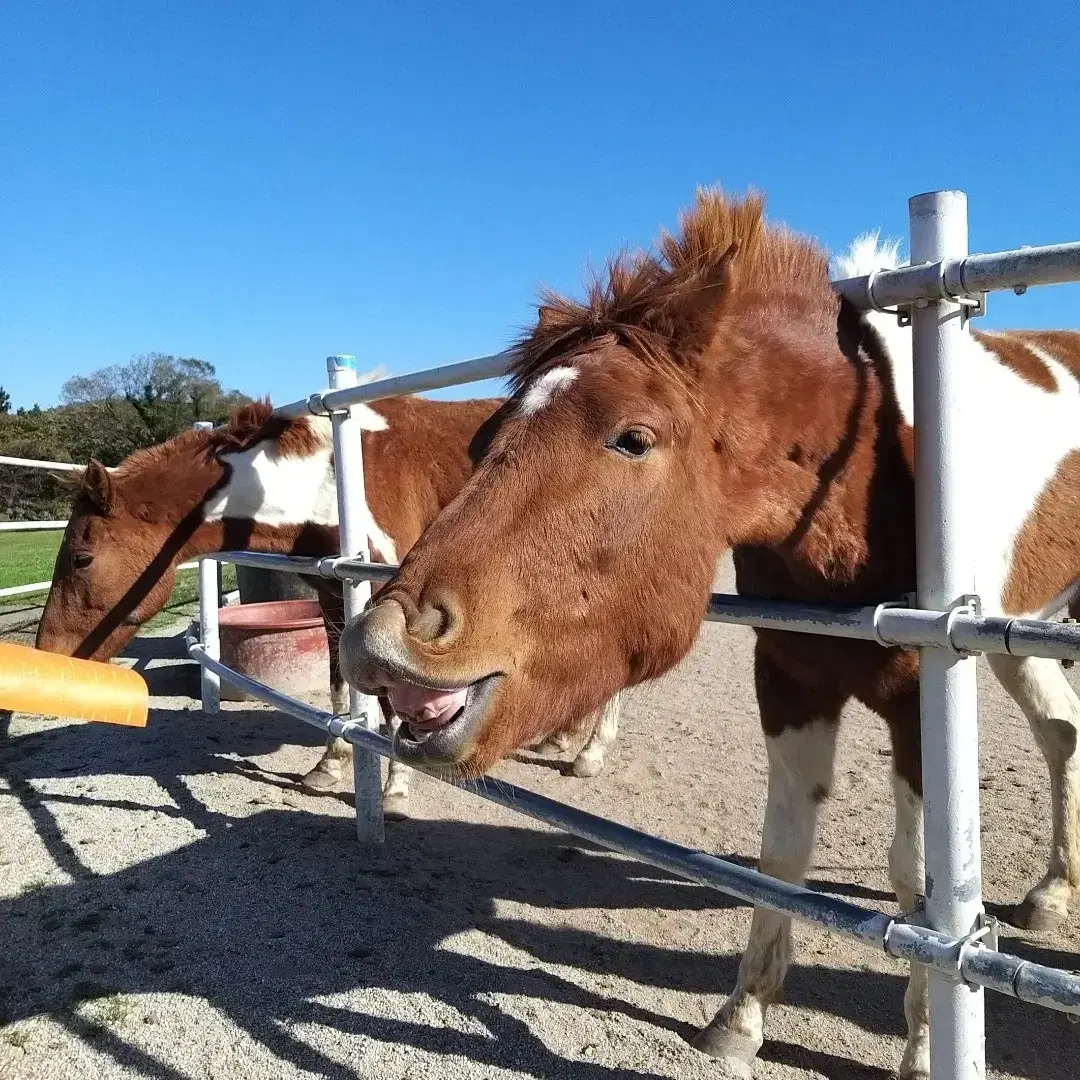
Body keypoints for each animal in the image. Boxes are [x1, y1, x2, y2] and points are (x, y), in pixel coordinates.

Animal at [341, 190, 1080, 1075]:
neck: (875, 465)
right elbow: (781, 854)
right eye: (487, 441)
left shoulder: (921, 698)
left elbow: (920, 882)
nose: (381, 638)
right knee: (1062, 728)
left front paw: (929, 1043)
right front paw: (742, 1015)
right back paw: (1052, 893)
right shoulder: (791, 677)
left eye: (633, 437)